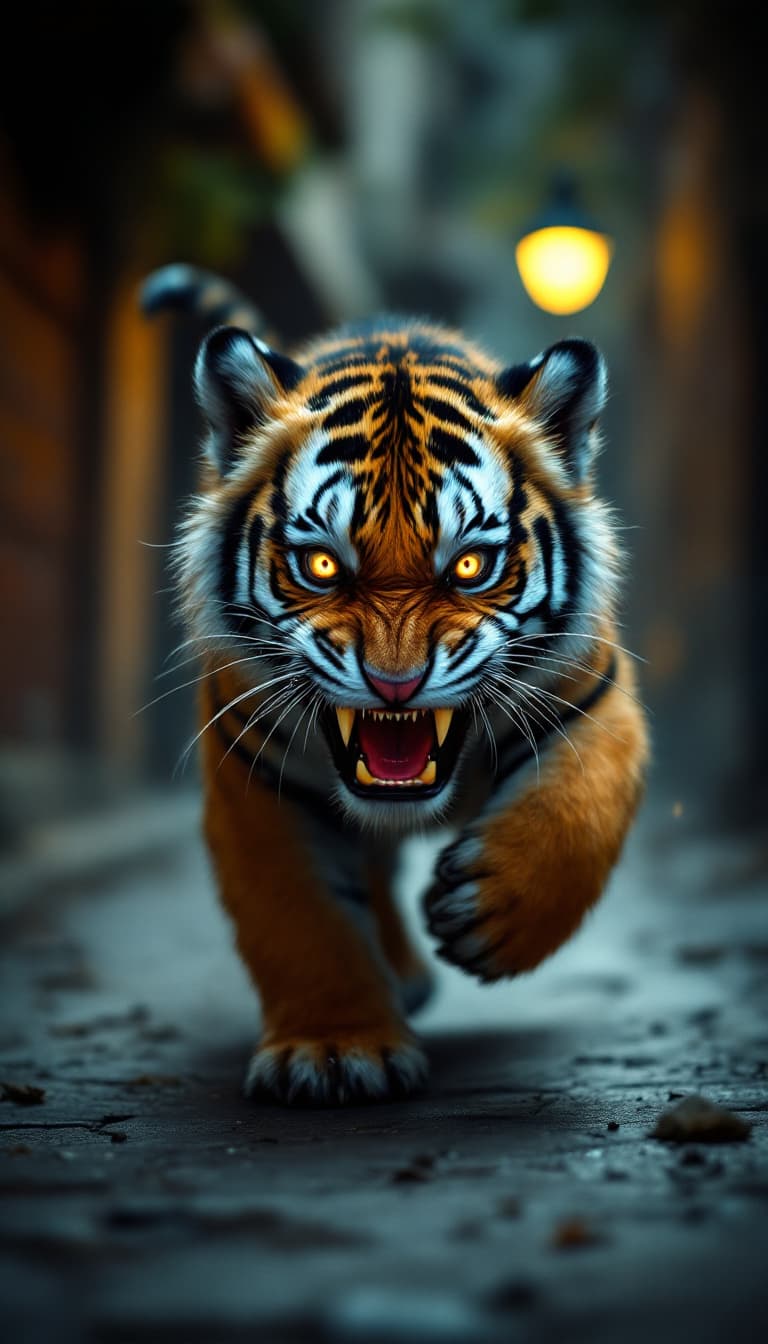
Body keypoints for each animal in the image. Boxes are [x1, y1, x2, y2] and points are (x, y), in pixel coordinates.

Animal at [142, 263, 649, 1107]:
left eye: (470, 565)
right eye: (322, 565)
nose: (395, 685)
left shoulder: (592, 700)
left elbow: (577, 816)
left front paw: (491, 917)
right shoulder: (256, 777)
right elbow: (300, 919)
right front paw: (335, 1051)